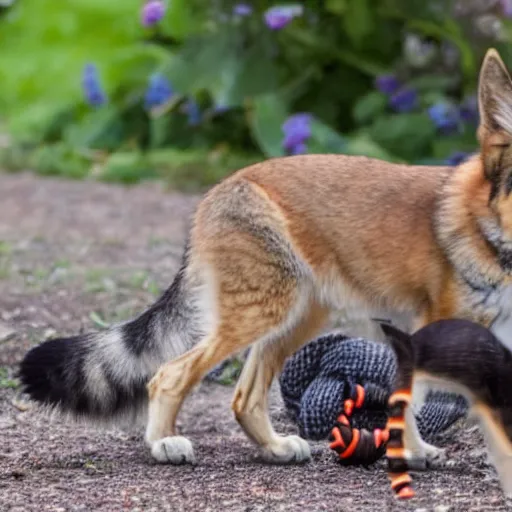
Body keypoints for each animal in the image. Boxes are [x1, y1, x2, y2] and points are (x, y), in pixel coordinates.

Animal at [18, 48, 512, 468]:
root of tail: (218, 190)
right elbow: (407, 405)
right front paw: (411, 452)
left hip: (295, 319)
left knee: (243, 398)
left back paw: (273, 448)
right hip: (264, 315)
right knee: (168, 375)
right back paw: (163, 443)